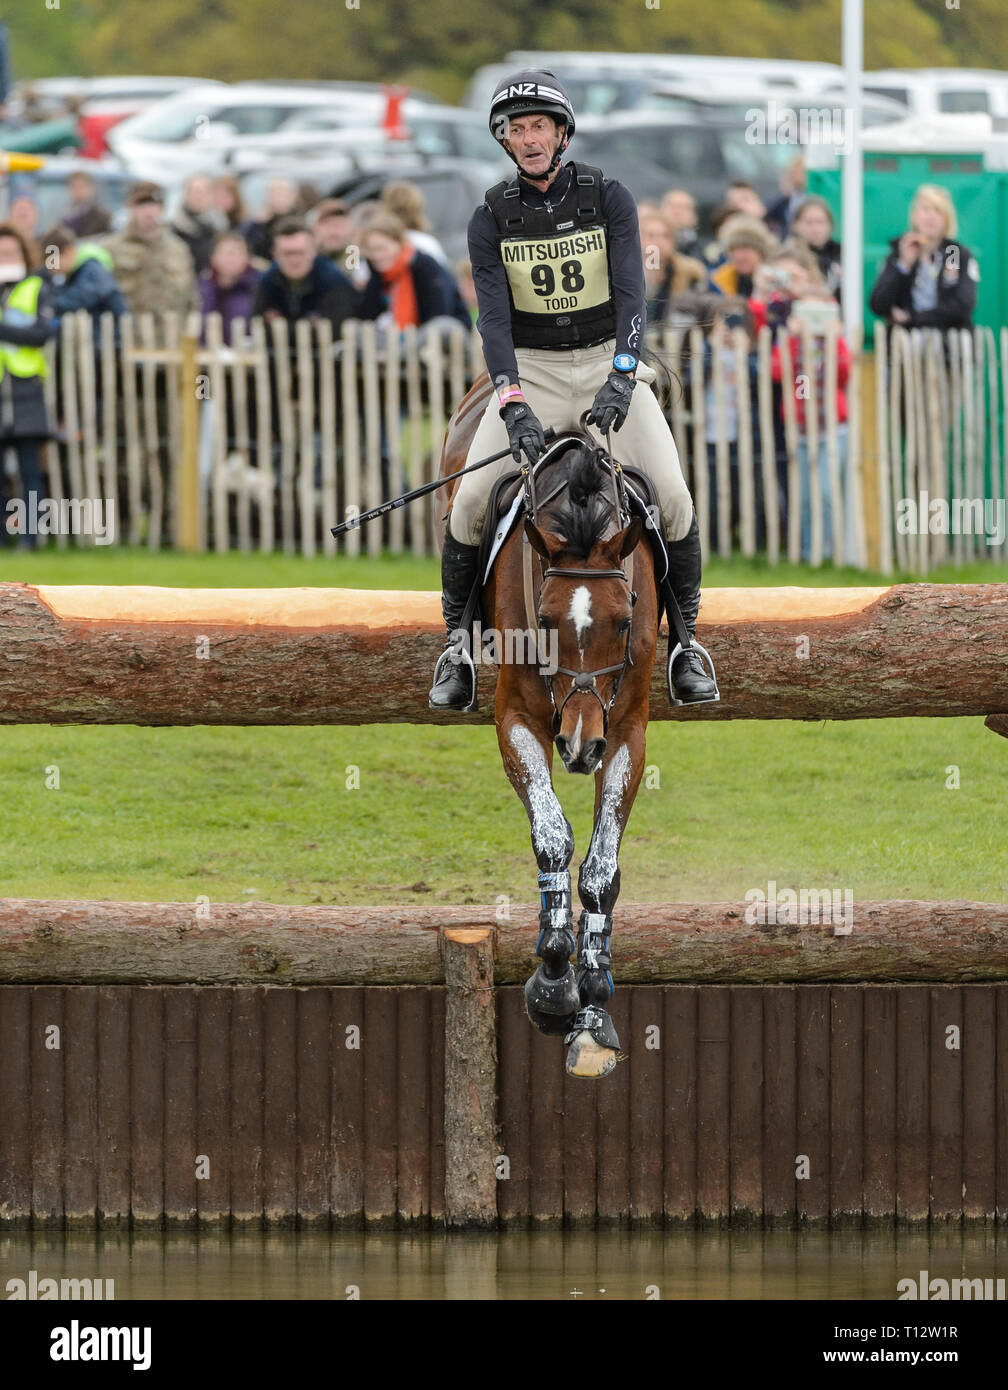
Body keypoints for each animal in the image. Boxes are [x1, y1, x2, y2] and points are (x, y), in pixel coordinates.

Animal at [433, 375, 661, 1078]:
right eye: (547, 618)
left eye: (624, 620)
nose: (579, 746)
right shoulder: (518, 719)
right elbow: (554, 837)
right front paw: (554, 982)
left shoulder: (627, 728)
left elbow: (601, 867)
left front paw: (592, 1009)